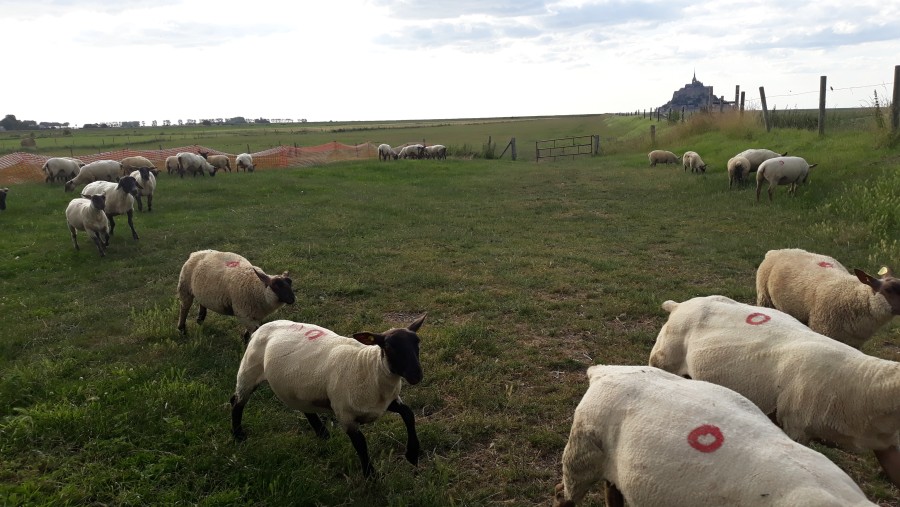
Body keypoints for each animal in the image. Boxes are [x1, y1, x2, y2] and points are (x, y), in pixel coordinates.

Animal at [229, 316, 426, 478]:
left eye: (417, 343)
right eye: (389, 347)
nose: (416, 375)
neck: (371, 368)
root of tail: (262, 327)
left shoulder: (386, 403)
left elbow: (408, 414)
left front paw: (412, 454)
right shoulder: (345, 415)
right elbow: (361, 444)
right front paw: (371, 475)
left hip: (298, 386)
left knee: (304, 407)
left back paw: (322, 433)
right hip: (249, 370)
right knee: (237, 402)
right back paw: (238, 435)